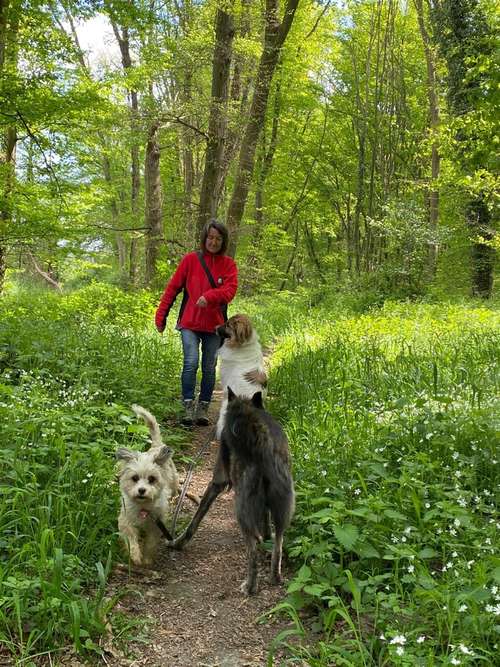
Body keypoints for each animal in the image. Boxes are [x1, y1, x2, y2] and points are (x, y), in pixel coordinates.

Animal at [116, 404, 181, 568]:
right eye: (135, 478)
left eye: (152, 479)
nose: (141, 490)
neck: (143, 507)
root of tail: (156, 446)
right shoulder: (126, 520)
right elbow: (131, 539)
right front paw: (135, 556)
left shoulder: (156, 525)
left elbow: (151, 543)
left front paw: (146, 560)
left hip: (174, 481)